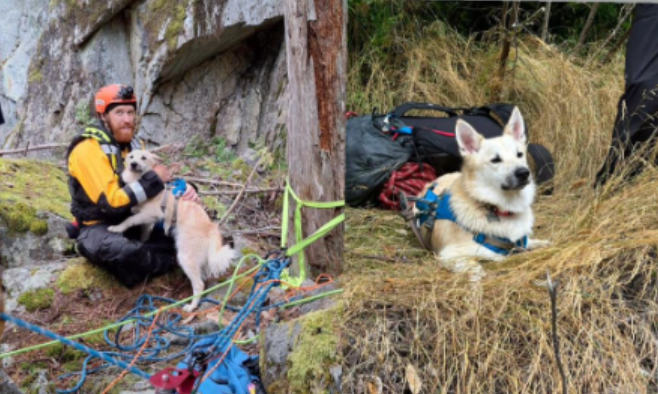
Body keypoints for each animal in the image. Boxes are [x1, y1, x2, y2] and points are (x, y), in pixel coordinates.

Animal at [109, 149, 236, 312]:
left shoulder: (150, 214)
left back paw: (191, 306)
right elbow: (144, 234)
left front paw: (117, 228)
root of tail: (211, 228)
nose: (133, 164)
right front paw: (143, 241)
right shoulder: (148, 221)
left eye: (143, 158)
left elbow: (129, 220)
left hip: (185, 257)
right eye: (131, 157)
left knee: (199, 285)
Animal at [416, 107, 548, 280]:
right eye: (495, 160)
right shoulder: (448, 255)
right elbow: (477, 267)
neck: (498, 208)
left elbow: (529, 243)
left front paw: (540, 243)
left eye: (519, 154)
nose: (524, 173)